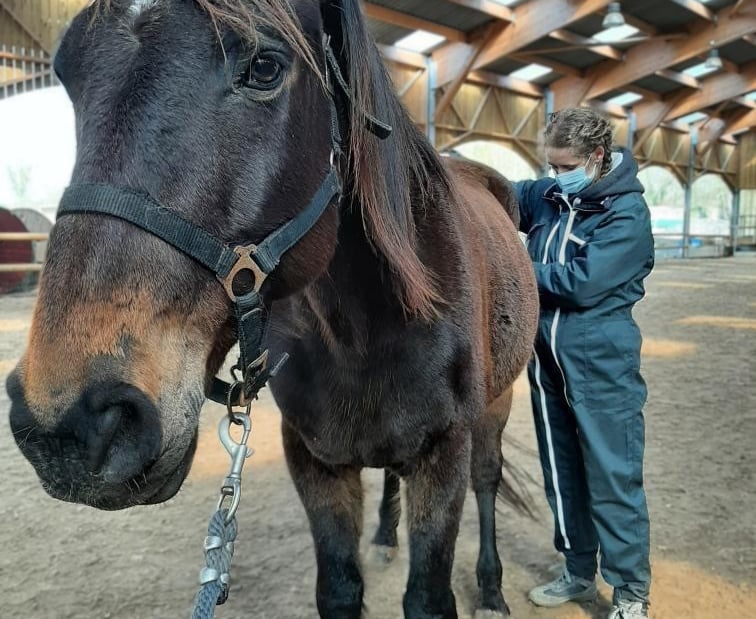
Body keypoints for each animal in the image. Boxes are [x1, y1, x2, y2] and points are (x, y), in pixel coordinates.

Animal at [6, 1, 538, 617]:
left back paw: (492, 588)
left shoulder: (443, 455)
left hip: (497, 404)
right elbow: (339, 587)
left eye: (265, 67)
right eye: (69, 75)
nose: (73, 426)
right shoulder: (315, 461)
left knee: (488, 480)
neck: (366, 332)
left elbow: (429, 593)